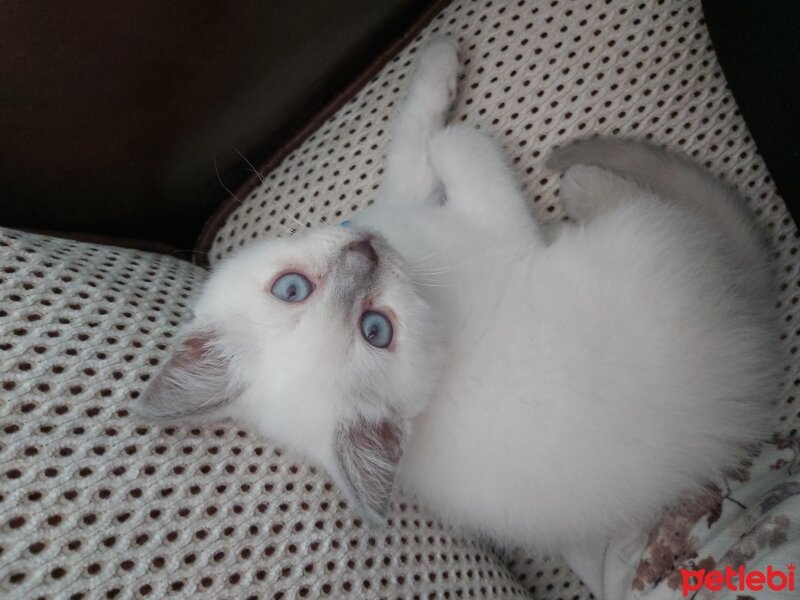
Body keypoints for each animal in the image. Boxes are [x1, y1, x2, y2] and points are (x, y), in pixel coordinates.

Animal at [141, 39, 780, 560]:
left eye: (291, 289)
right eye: (378, 330)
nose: (366, 255)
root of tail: (751, 346)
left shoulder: (401, 205)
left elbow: (411, 138)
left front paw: (436, 59)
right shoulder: (492, 229)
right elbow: (454, 145)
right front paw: (456, 106)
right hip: (643, 238)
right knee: (647, 208)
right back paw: (581, 186)